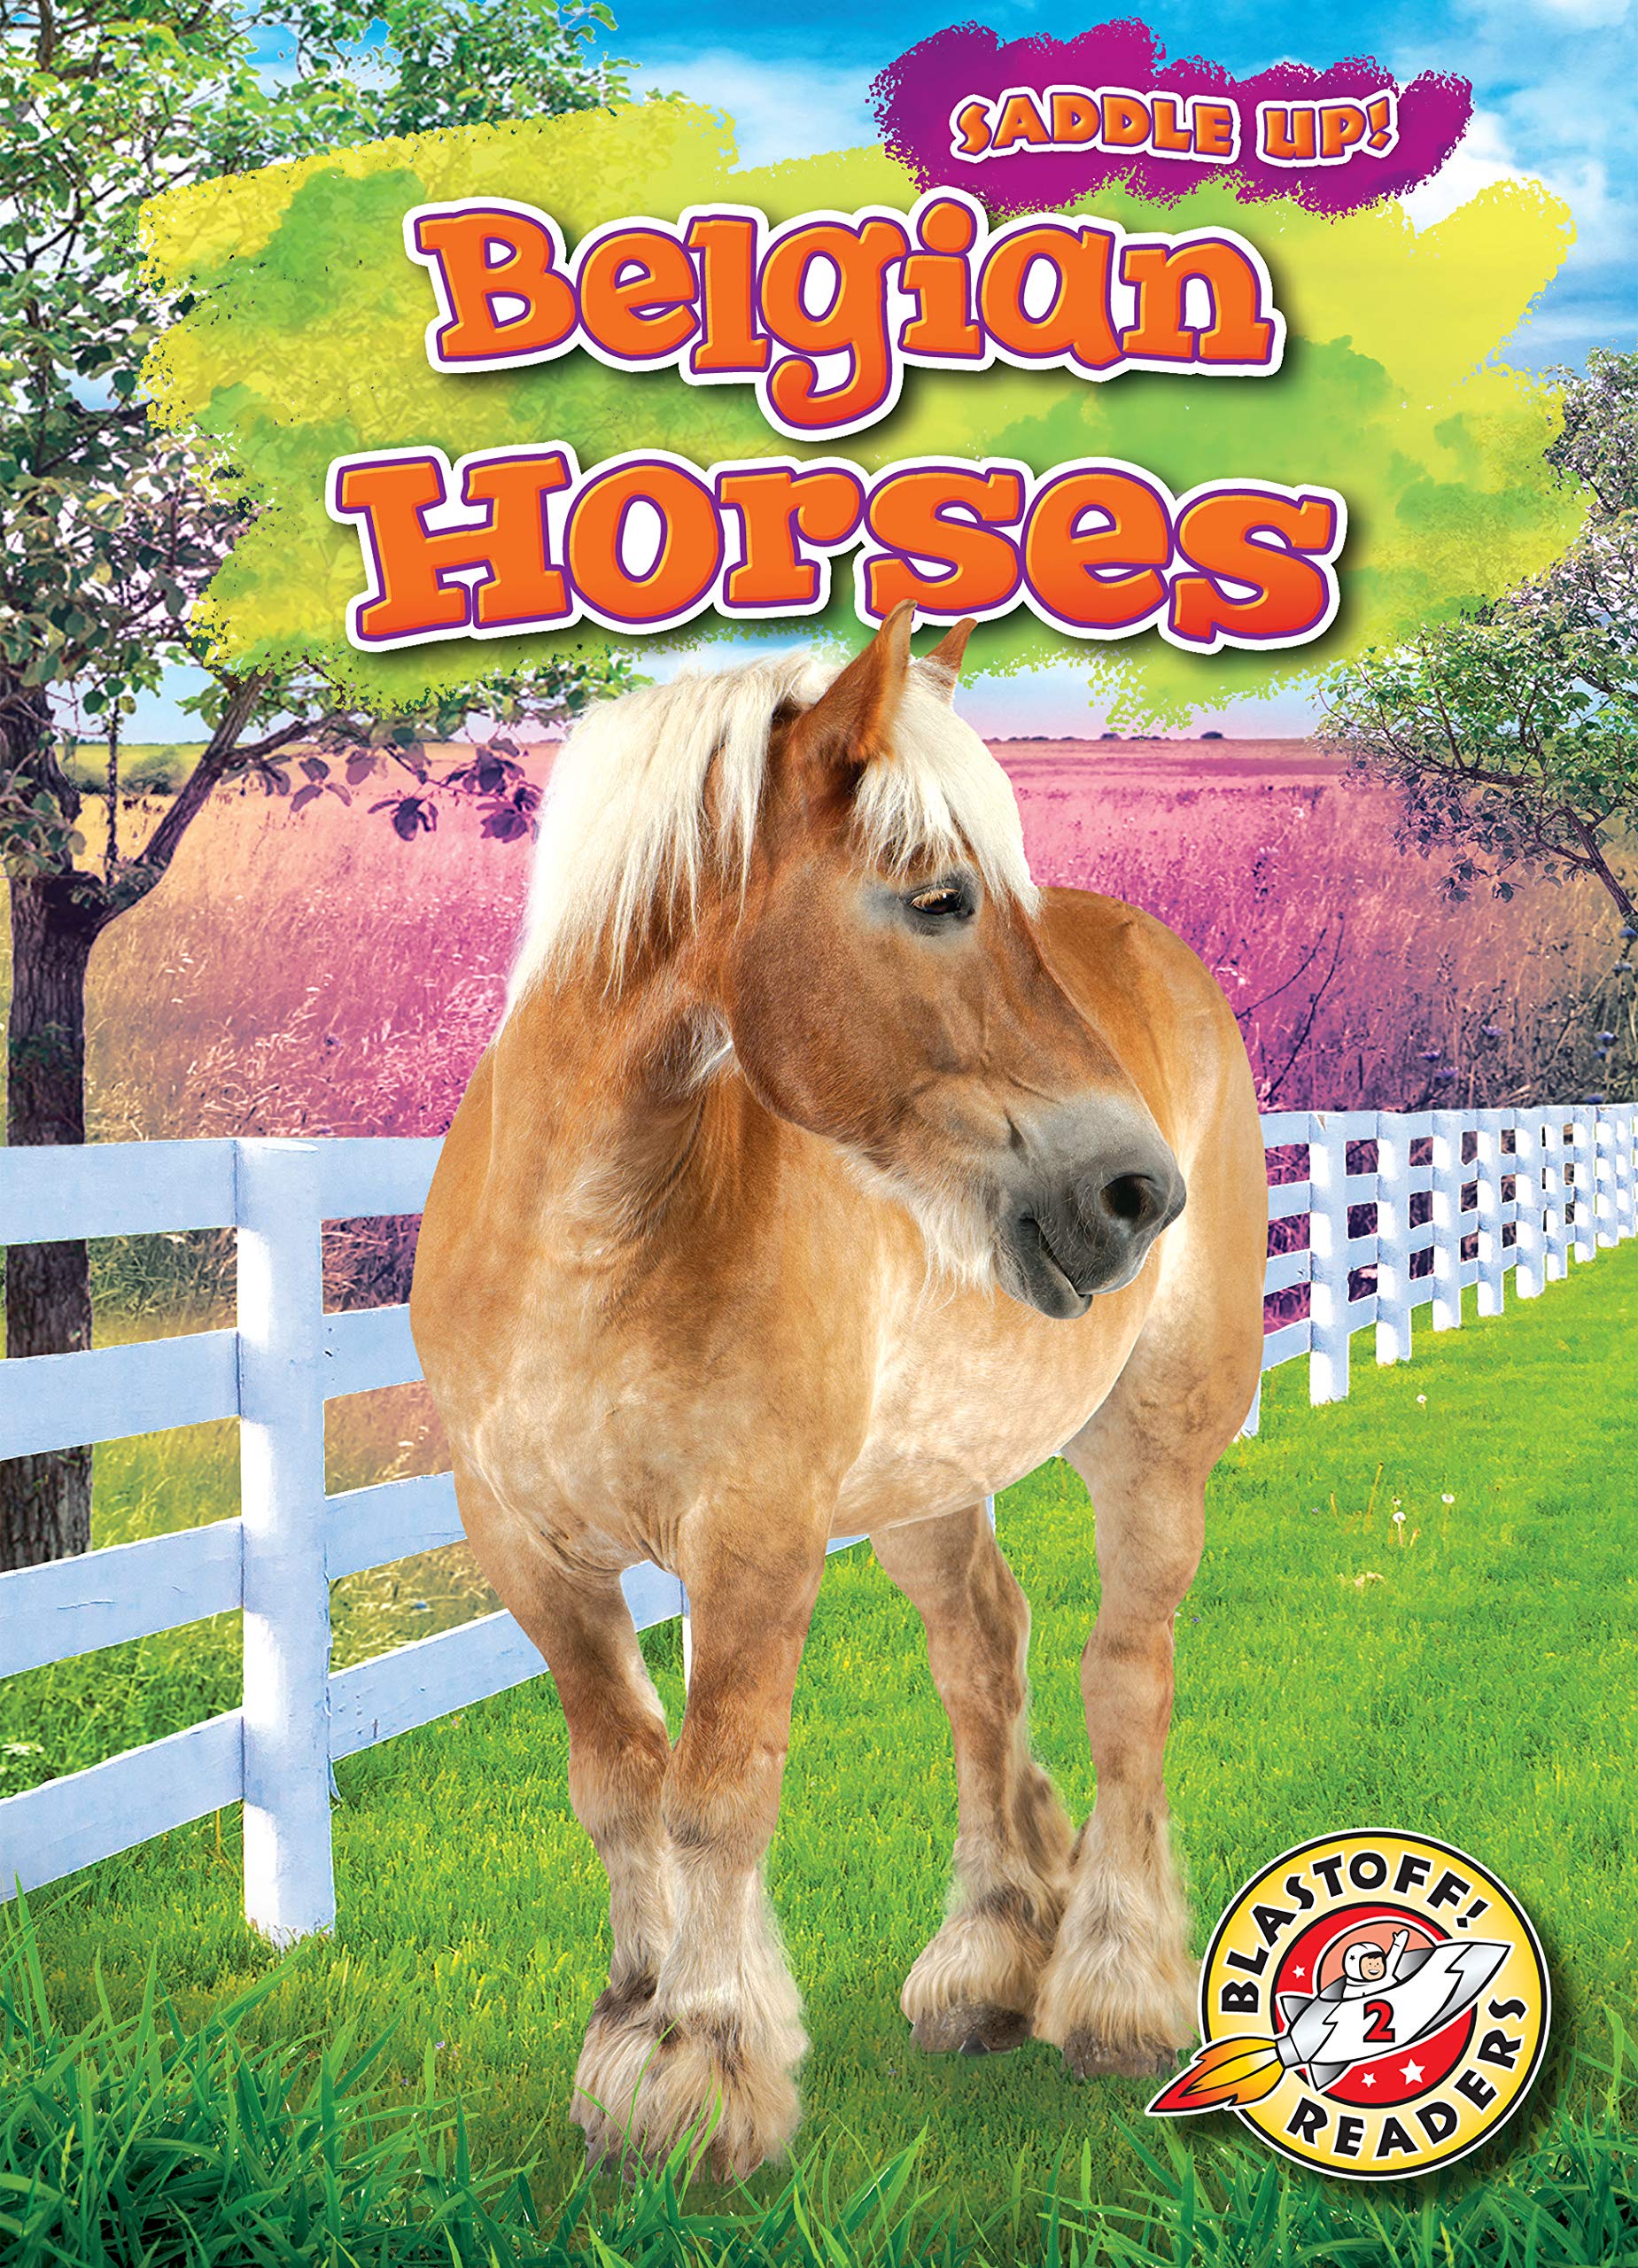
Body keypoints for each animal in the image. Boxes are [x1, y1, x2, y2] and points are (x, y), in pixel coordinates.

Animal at [409, 602, 1268, 2178]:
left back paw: (1115, 1987)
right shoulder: (527, 1550)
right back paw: (986, 1961)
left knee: (1126, 1677)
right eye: (938, 899)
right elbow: (618, 1787)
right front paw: (625, 2033)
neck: (589, 1239)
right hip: (928, 1483)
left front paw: (700, 2069)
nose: (1133, 1193)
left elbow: (715, 1794)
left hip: (1155, 1446)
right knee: (982, 1660)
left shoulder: (754, 1536)